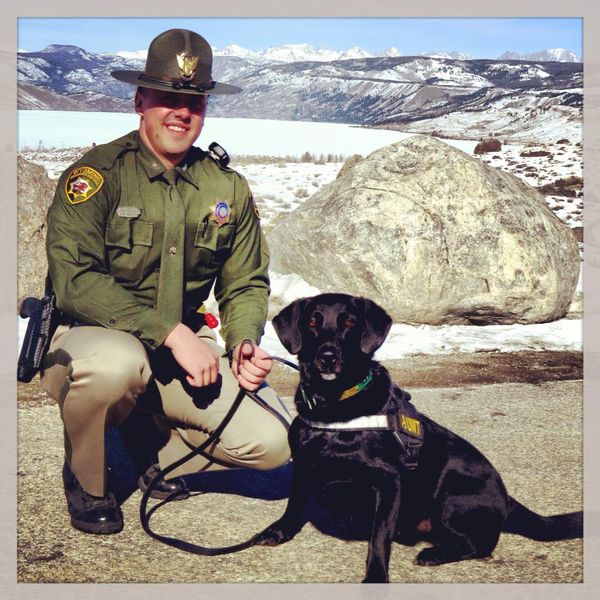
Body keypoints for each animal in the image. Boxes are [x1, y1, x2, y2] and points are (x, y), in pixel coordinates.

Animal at [252, 292, 580, 584]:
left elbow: (379, 538)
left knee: (482, 546)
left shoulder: (390, 482)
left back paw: (435, 553)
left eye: (349, 323)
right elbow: (294, 504)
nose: (328, 357)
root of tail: (507, 499)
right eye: (312, 322)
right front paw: (278, 531)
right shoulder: (304, 465)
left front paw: (376, 577)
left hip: (451, 496)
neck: (335, 407)